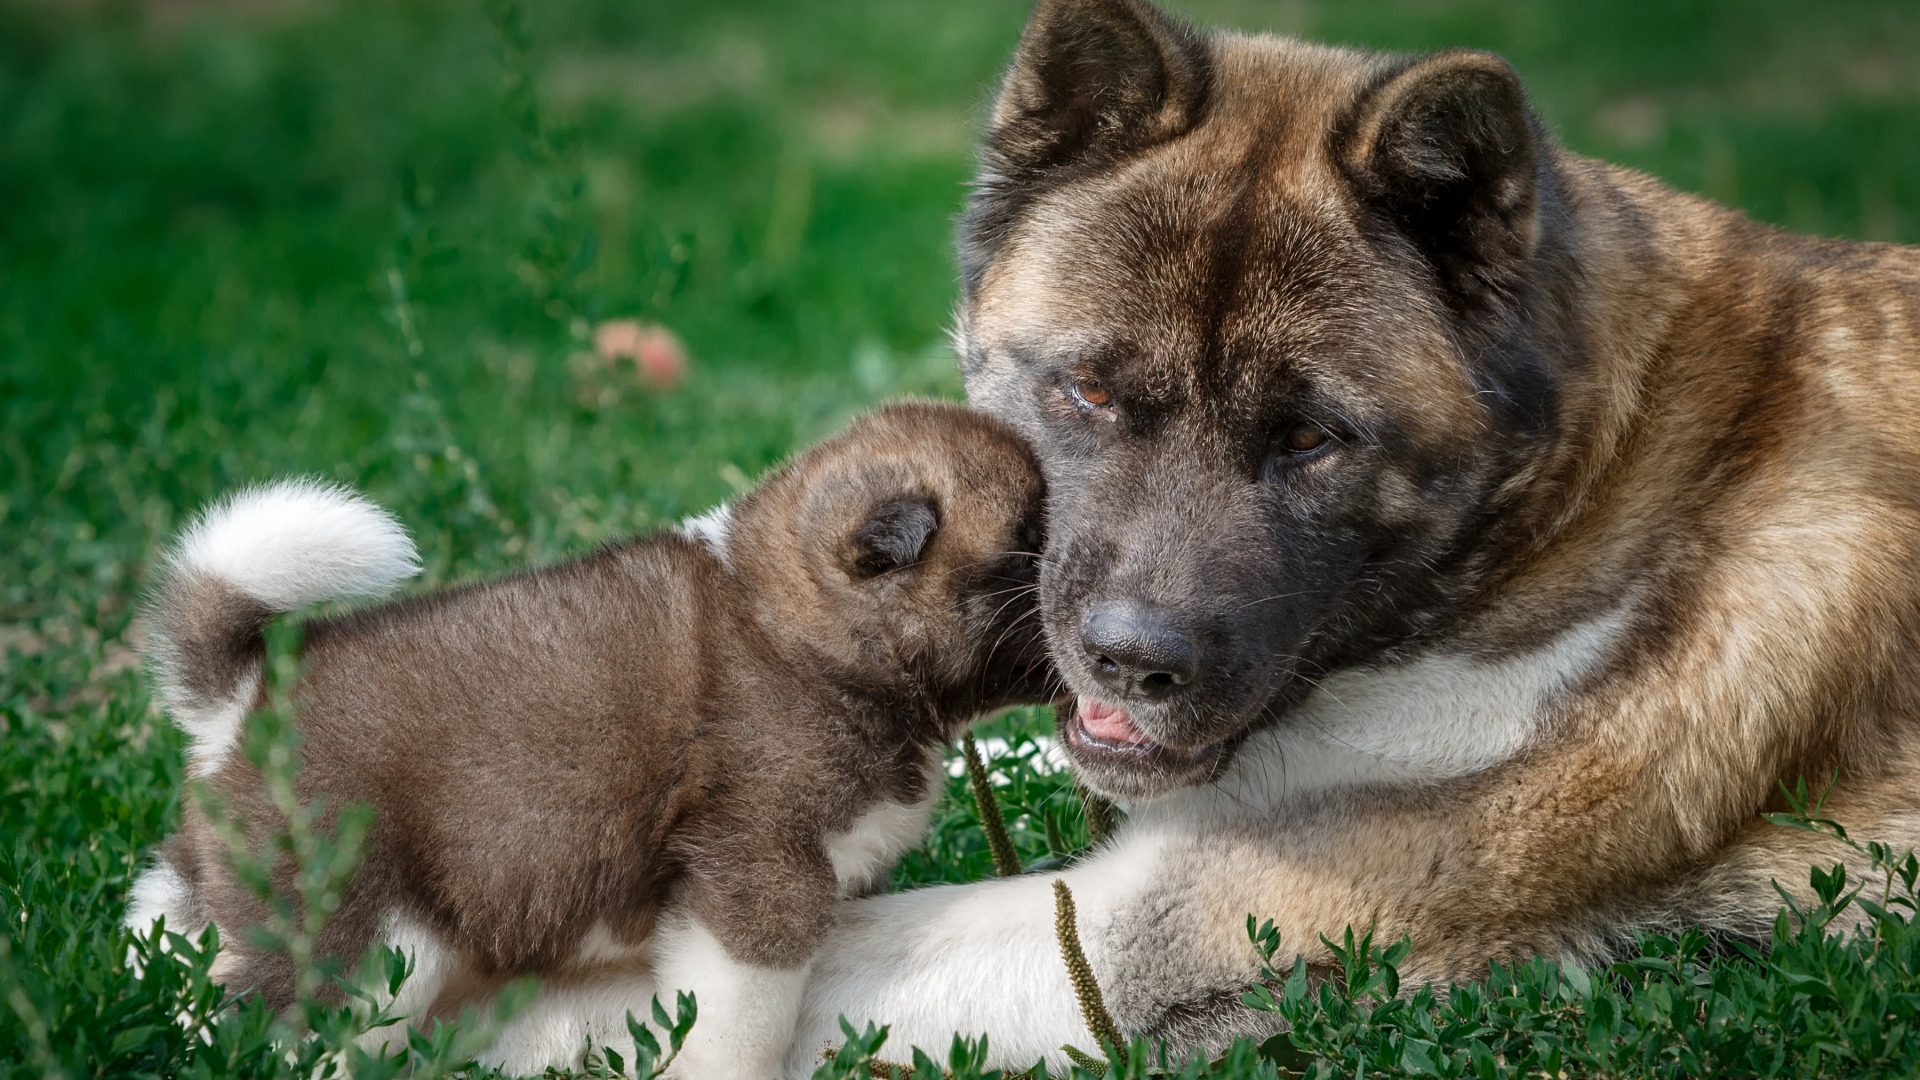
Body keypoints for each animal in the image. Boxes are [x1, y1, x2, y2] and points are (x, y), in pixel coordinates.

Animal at [129, 399, 1059, 1068]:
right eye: (1029, 540)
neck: (804, 632)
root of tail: (244, 698)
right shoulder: (756, 881)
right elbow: (742, 1026)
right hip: (360, 938)